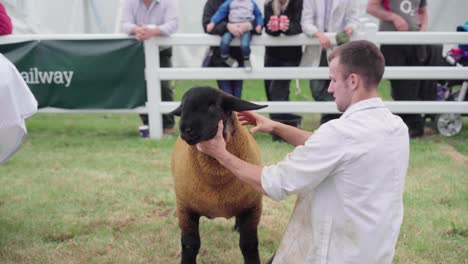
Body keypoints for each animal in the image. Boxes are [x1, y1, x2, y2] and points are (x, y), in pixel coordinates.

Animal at [171, 86, 266, 264]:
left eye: (212, 106)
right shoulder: (185, 208)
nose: (186, 130)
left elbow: (249, 245)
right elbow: (190, 245)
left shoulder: (252, 207)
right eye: (182, 107)